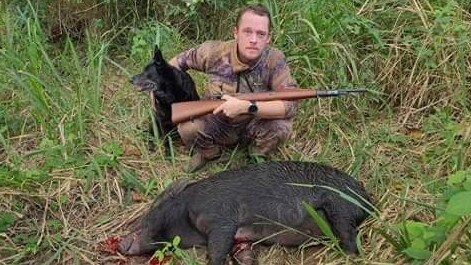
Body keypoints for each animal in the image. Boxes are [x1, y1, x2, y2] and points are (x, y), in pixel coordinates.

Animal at [118, 160, 372, 262]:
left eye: (151, 210)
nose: (119, 243)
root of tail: (369, 201)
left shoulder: (220, 218)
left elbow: (217, 248)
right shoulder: (241, 239)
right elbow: (243, 253)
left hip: (339, 207)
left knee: (349, 237)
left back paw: (349, 257)